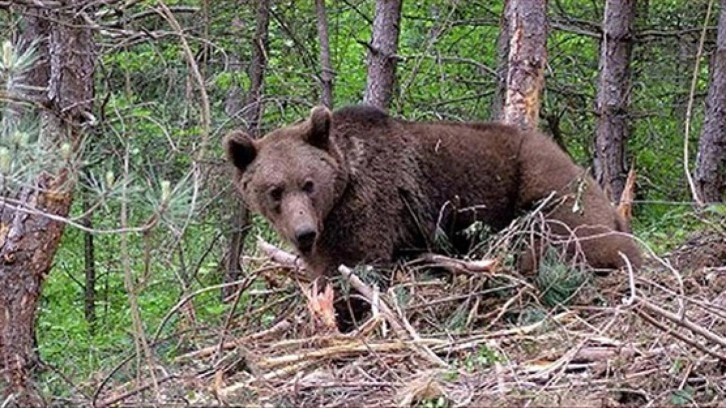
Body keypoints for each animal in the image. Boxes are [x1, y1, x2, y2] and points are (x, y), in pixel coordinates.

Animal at [226, 104, 644, 322]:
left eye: (309, 183)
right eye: (274, 190)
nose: (303, 232)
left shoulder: (371, 207)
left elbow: (360, 268)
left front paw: (348, 312)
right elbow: (325, 274)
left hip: (545, 186)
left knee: (565, 240)